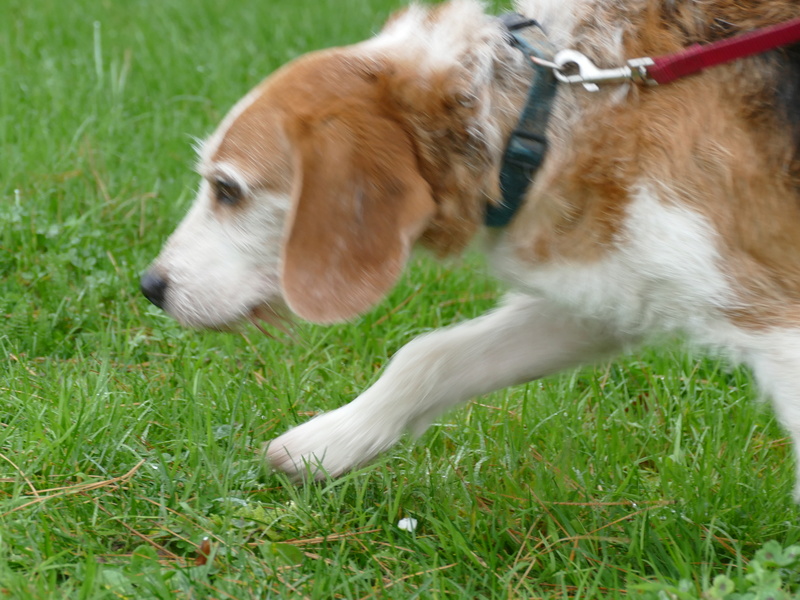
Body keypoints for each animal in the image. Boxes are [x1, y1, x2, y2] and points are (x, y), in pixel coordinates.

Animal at [141, 0, 800, 496]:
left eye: (228, 190)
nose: (150, 286)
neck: (544, 104)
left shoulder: (776, 322)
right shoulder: (617, 289)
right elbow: (429, 355)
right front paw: (326, 444)